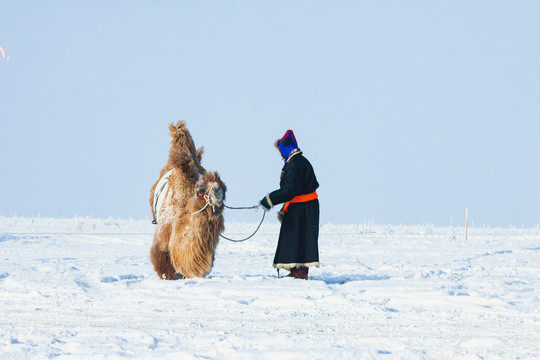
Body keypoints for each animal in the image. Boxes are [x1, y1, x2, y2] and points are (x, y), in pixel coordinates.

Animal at [150, 121, 226, 278]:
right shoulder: (163, 235)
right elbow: (163, 259)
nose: (217, 191)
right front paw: (169, 276)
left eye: (224, 187)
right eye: (202, 190)